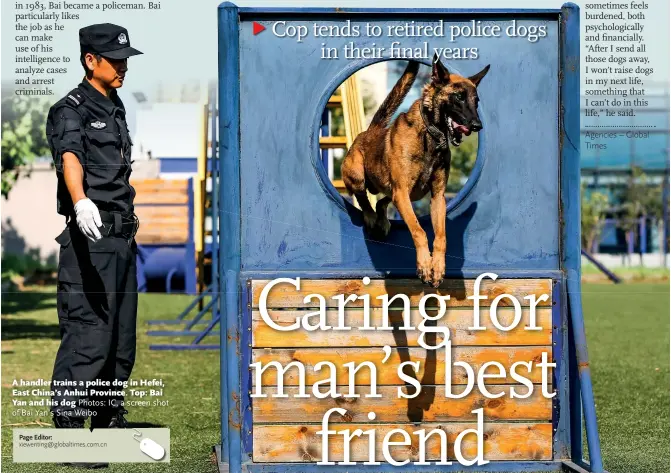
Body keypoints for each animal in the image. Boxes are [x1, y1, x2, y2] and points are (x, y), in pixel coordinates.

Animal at [344, 58, 490, 288]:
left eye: (476, 101)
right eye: (458, 97)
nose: (478, 125)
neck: (431, 134)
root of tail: (371, 131)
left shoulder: (437, 197)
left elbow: (441, 237)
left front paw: (437, 266)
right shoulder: (402, 192)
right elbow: (419, 230)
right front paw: (424, 265)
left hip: (411, 193)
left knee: (382, 201)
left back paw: (382, 220)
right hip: (358, 174)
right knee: (363, 197)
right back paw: (370, 216)